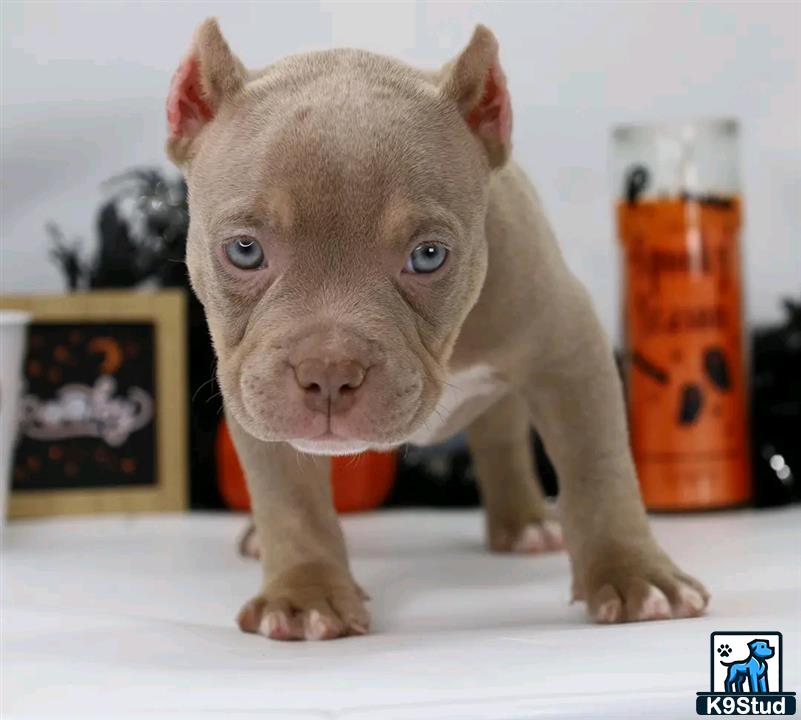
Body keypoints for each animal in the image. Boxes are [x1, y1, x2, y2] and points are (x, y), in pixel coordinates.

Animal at [166, 18, 708, 640]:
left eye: (428, 256)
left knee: (500, 436)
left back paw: (525, 522)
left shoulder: (570, 349)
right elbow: (289, 498)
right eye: (244, 250)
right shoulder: (248, 384)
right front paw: (305, 595)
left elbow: (598, 468)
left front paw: (635, 574)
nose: (328, 370)